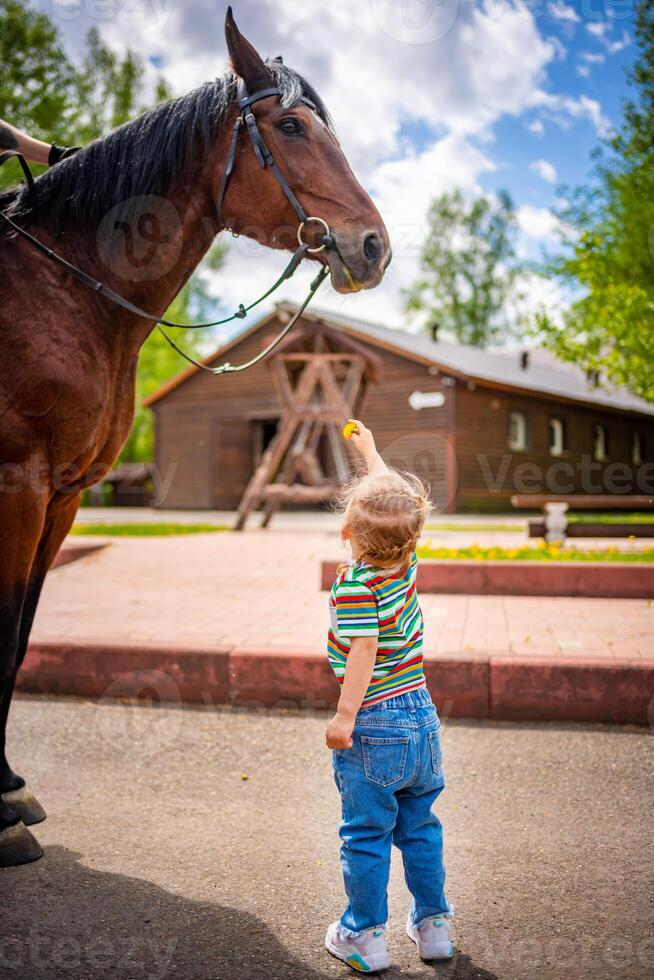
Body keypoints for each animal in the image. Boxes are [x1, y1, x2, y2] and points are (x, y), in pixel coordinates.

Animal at [0, 5, 390, 864]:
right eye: (290, 125)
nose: (375, 245)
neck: (64, 289)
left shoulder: (62, 497)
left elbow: (18, 637)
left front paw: (5, 790)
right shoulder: (19, 485)